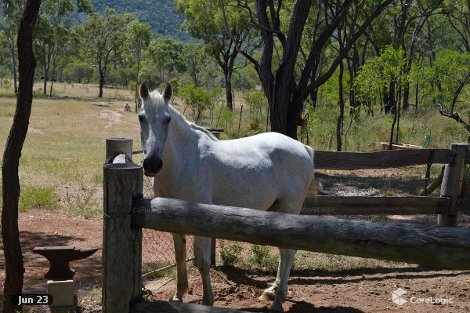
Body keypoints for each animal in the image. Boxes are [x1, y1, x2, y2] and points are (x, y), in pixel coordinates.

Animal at [140, 81, 316, 310]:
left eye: (167, 119)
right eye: (141, 117)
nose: (152, 163)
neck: (185, 160)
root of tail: (302, 147)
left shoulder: (200, 221)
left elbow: (202, 261)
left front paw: (207, 300)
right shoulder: (173, 222)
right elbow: (179, 256)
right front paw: (179, 295)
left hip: (290, 208)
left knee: (287, 252)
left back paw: (278, 301)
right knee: (284, 251)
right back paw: (273, 291)